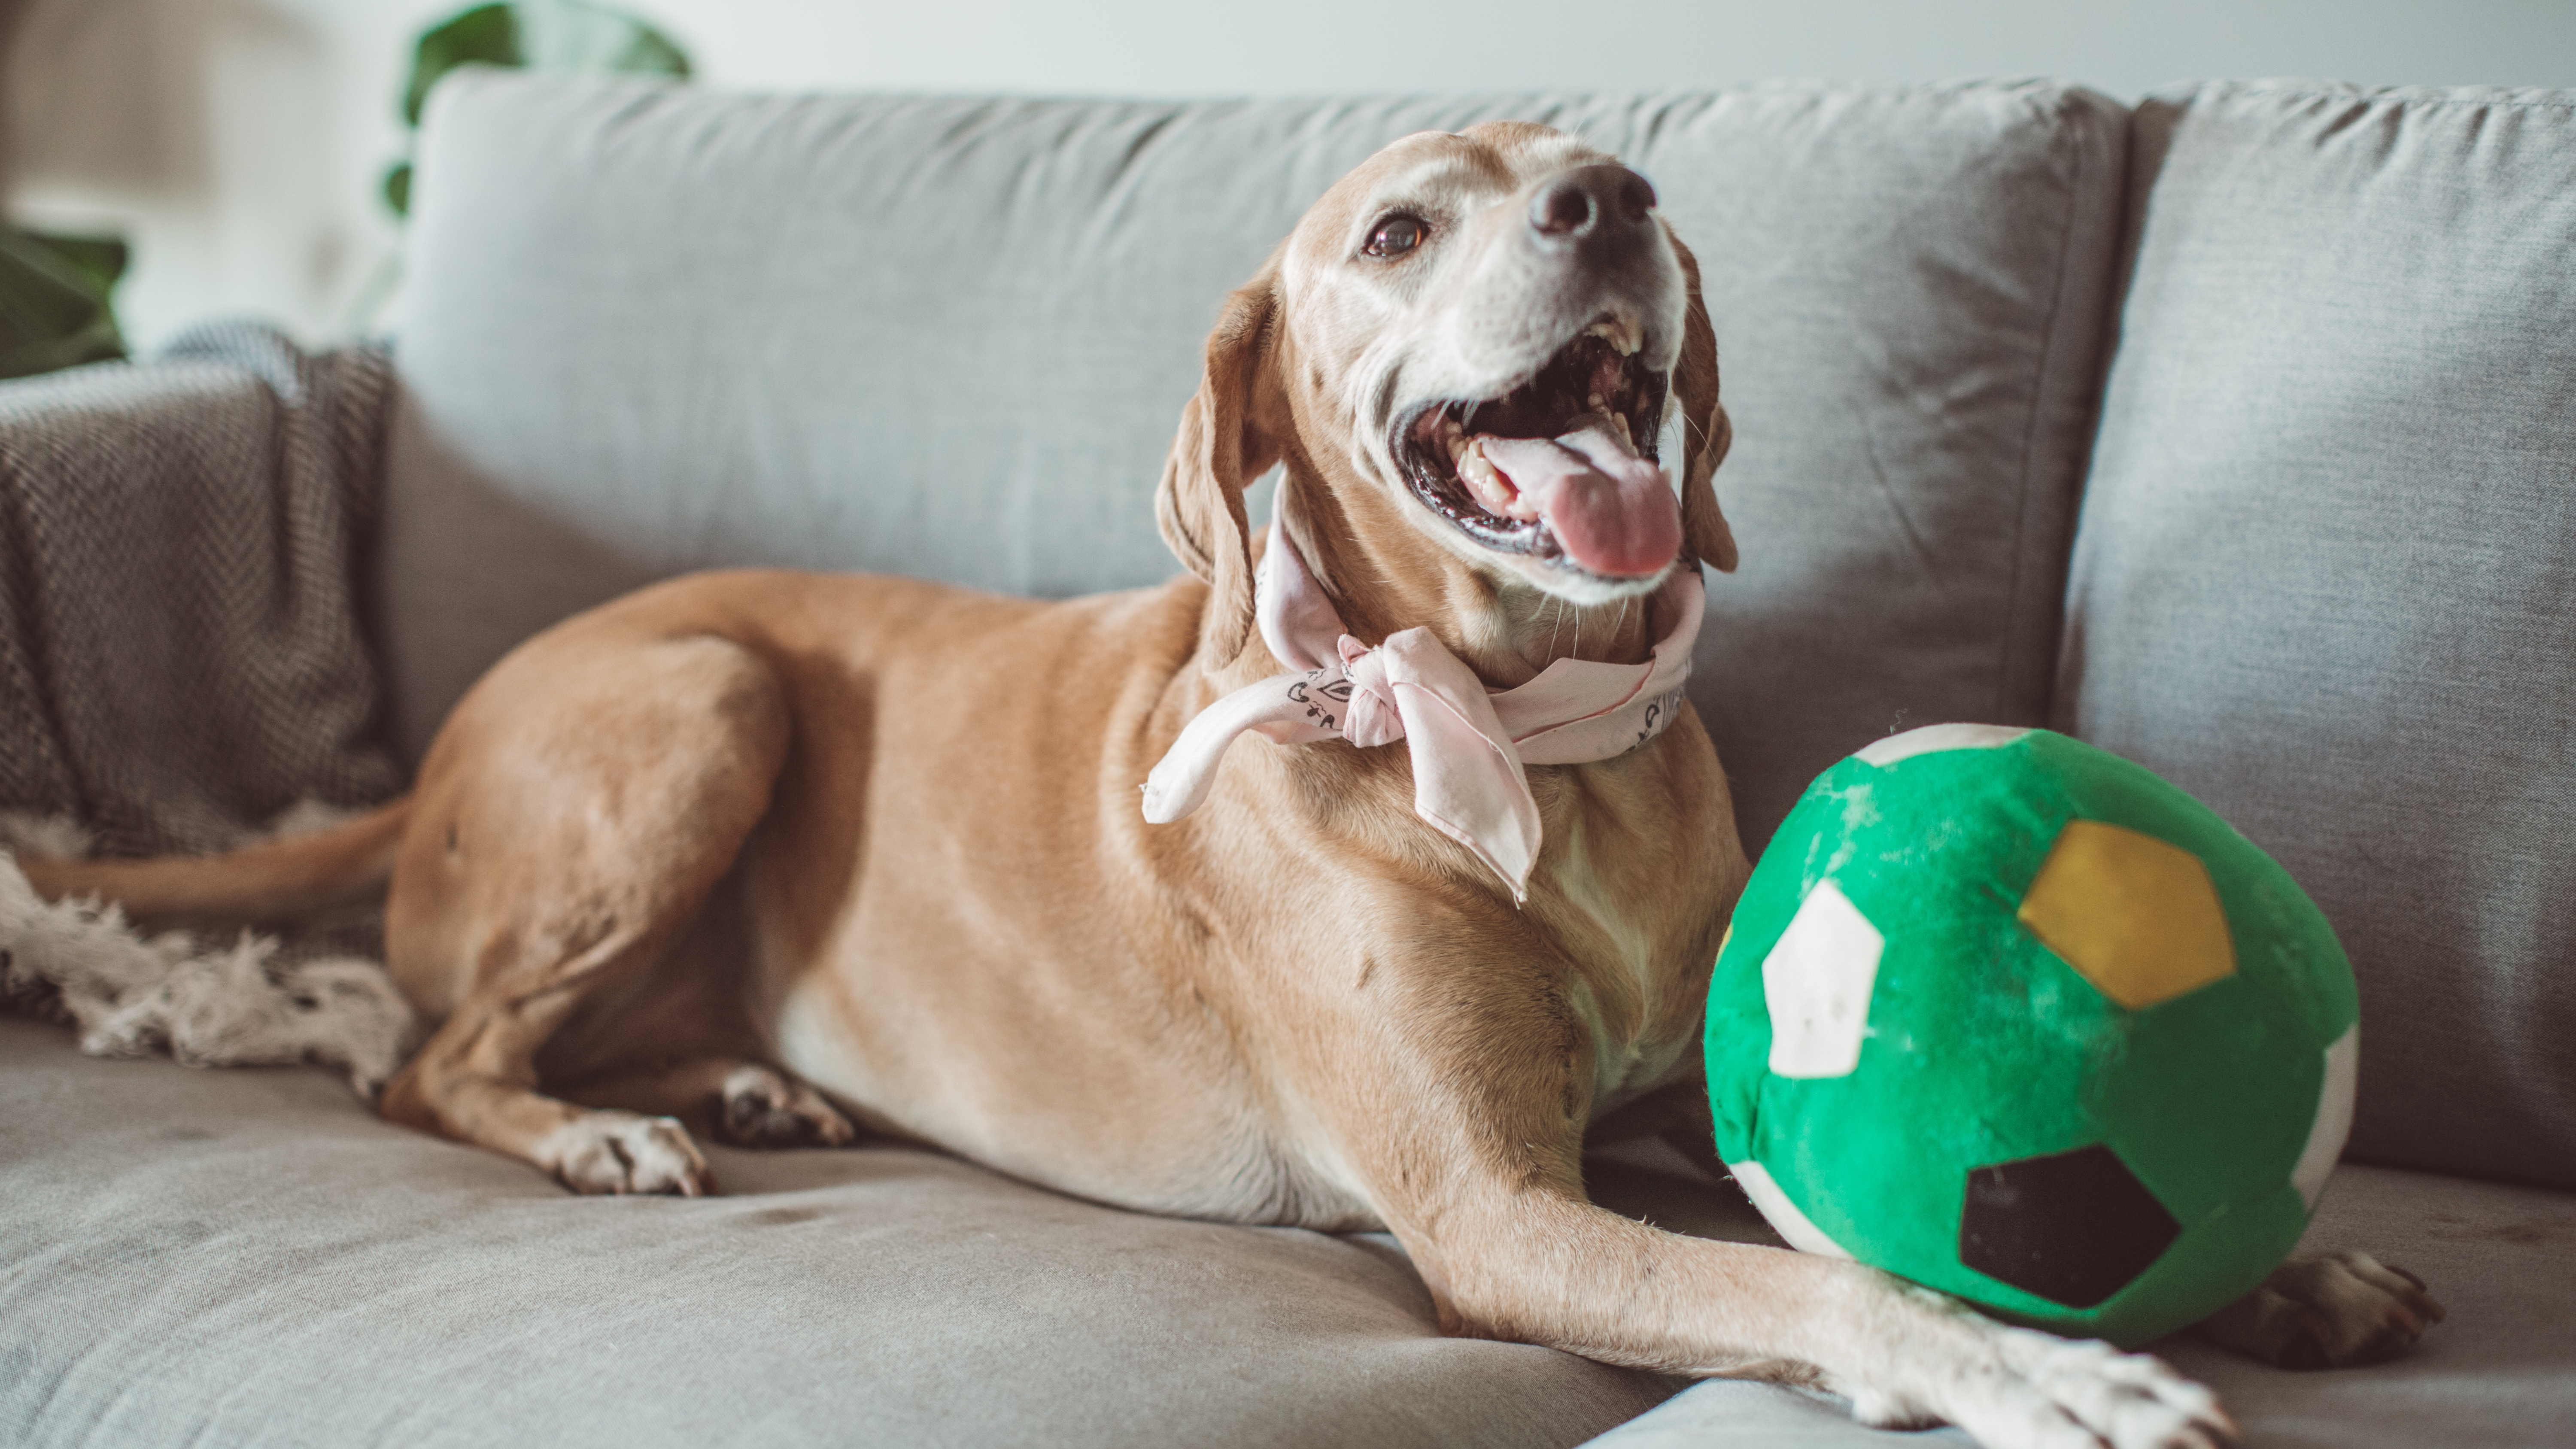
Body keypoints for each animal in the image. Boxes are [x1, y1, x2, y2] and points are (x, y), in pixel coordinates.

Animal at [20, 124, 2432, 1443]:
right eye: (1394, 234)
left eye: (1607, 167)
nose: (1616, 197)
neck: (1522, 740)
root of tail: (441, 733)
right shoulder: (1496, 1211)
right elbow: (1838, 1286)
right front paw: (2059, 1371)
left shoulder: (1679, 1106)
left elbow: (1854, 1210)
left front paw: (2272, 1276)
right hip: (704, 701)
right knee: (421, 1061)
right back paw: (602, 1126)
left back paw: (743, 1085)